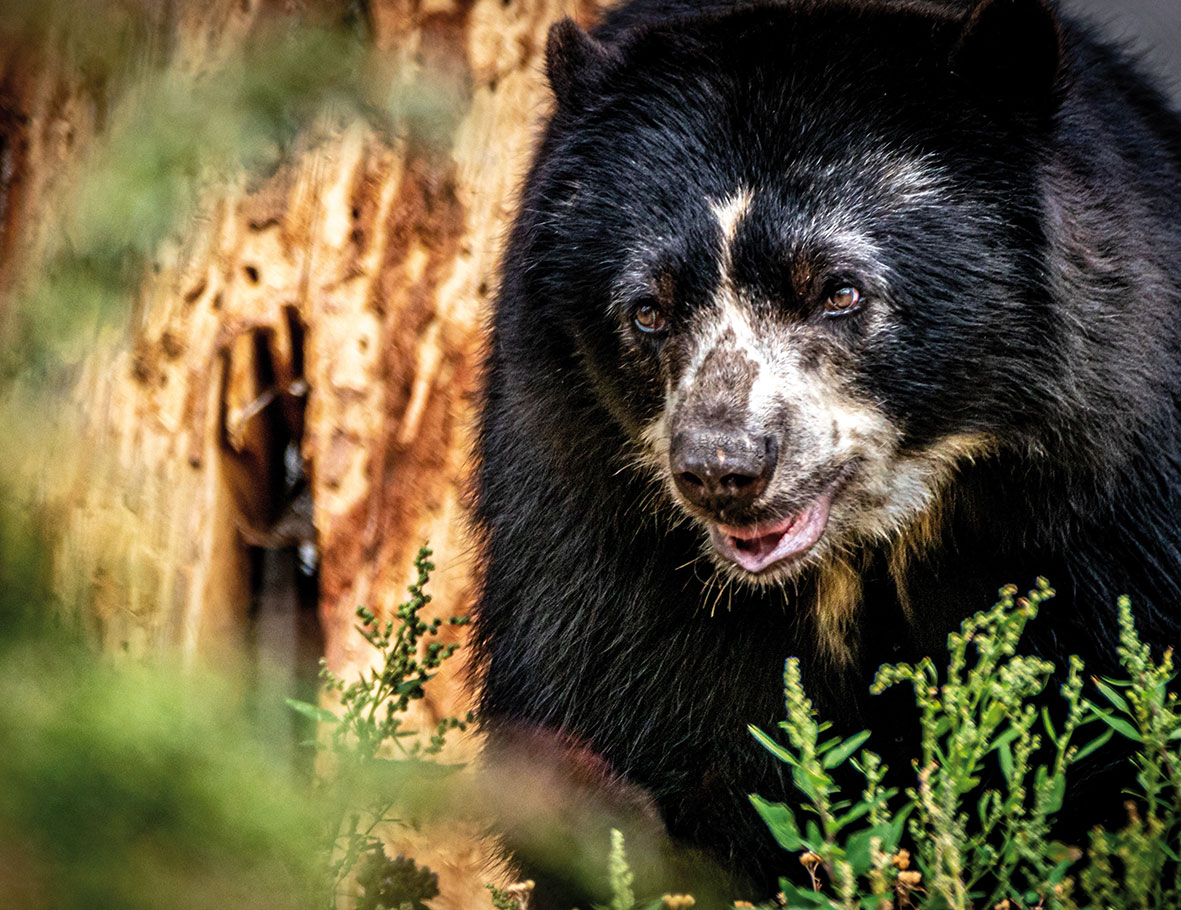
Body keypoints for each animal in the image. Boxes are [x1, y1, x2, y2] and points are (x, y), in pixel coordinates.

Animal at [470, 0, 1181, 901]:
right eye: (647, 311)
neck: (862, 552)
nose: (720, 470)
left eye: (838, 292)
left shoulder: (1109, 488)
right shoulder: (578, 498)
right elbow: (623, 718)